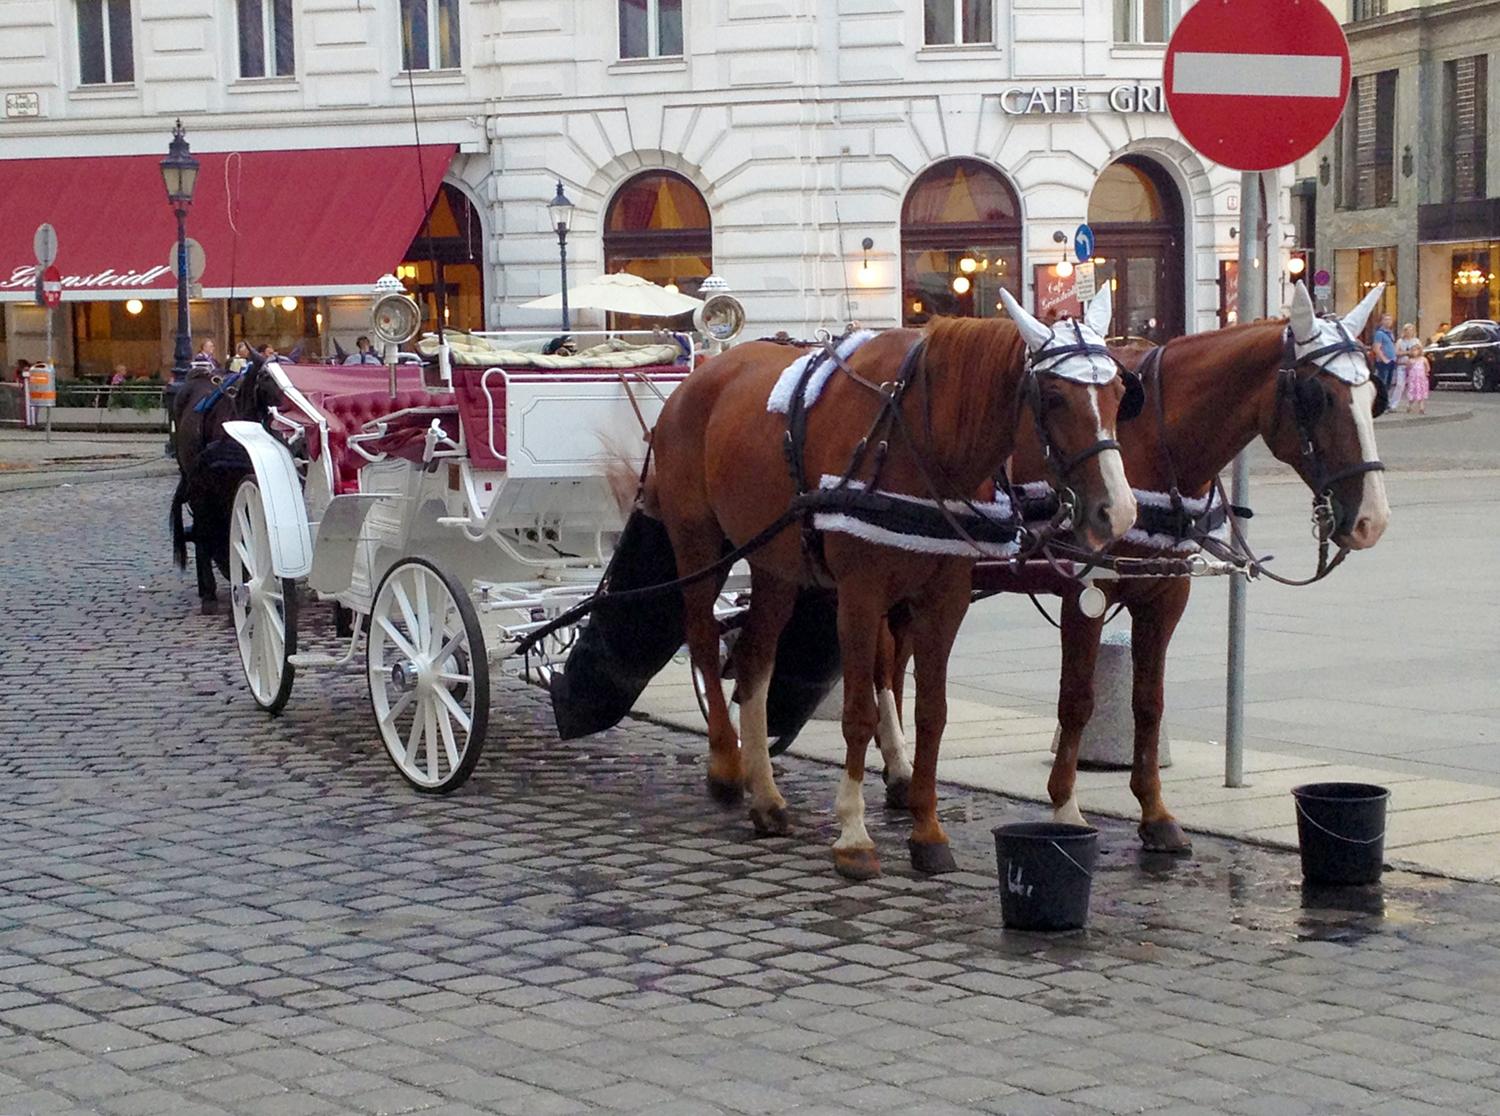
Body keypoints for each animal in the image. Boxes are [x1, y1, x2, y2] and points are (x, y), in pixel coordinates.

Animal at [651, 288, 1128, 882]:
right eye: (1057, 397)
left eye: (1120, 392)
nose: (1117, 511)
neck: (920, 441)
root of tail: (702, 375)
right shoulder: (861, 593)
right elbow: (859, 713)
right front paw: (853, 834)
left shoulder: (944, 598)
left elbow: (932, 713)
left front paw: (927, 829)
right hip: (699, 545)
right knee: (701, 638)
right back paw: (725, 763)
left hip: (774, 564)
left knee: (756, 663)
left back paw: (767, 797)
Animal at [876, 280, 1392, 852]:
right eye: (1319, 396)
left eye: (1374, 396)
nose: (1371, 520)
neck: (1150, 444)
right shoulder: (1086, 592)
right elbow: (1076, 700)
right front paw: (1065, 807)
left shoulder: (1165, 597)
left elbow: (1148, 703)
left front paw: (1155, 812)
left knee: (892, 662)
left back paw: (899, 773)